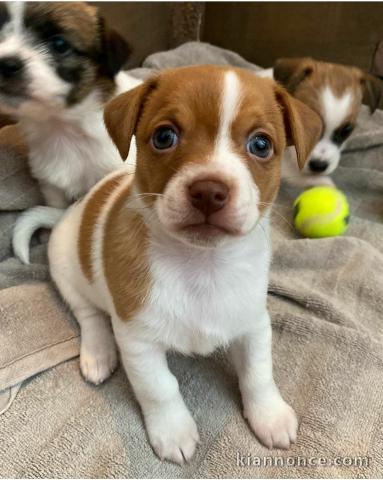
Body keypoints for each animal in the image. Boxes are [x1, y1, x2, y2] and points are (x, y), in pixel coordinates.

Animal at [48, 65, 324, 464]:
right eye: (165, 137)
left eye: (261, 145)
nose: (209, 191)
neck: (202, 265)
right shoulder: (138, 341)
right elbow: (160, 388)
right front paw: (173, 430)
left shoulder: (254, 324)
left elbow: (258, 373)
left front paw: (269, 415)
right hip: (66, 267)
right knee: (90, 315)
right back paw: (98, 353)